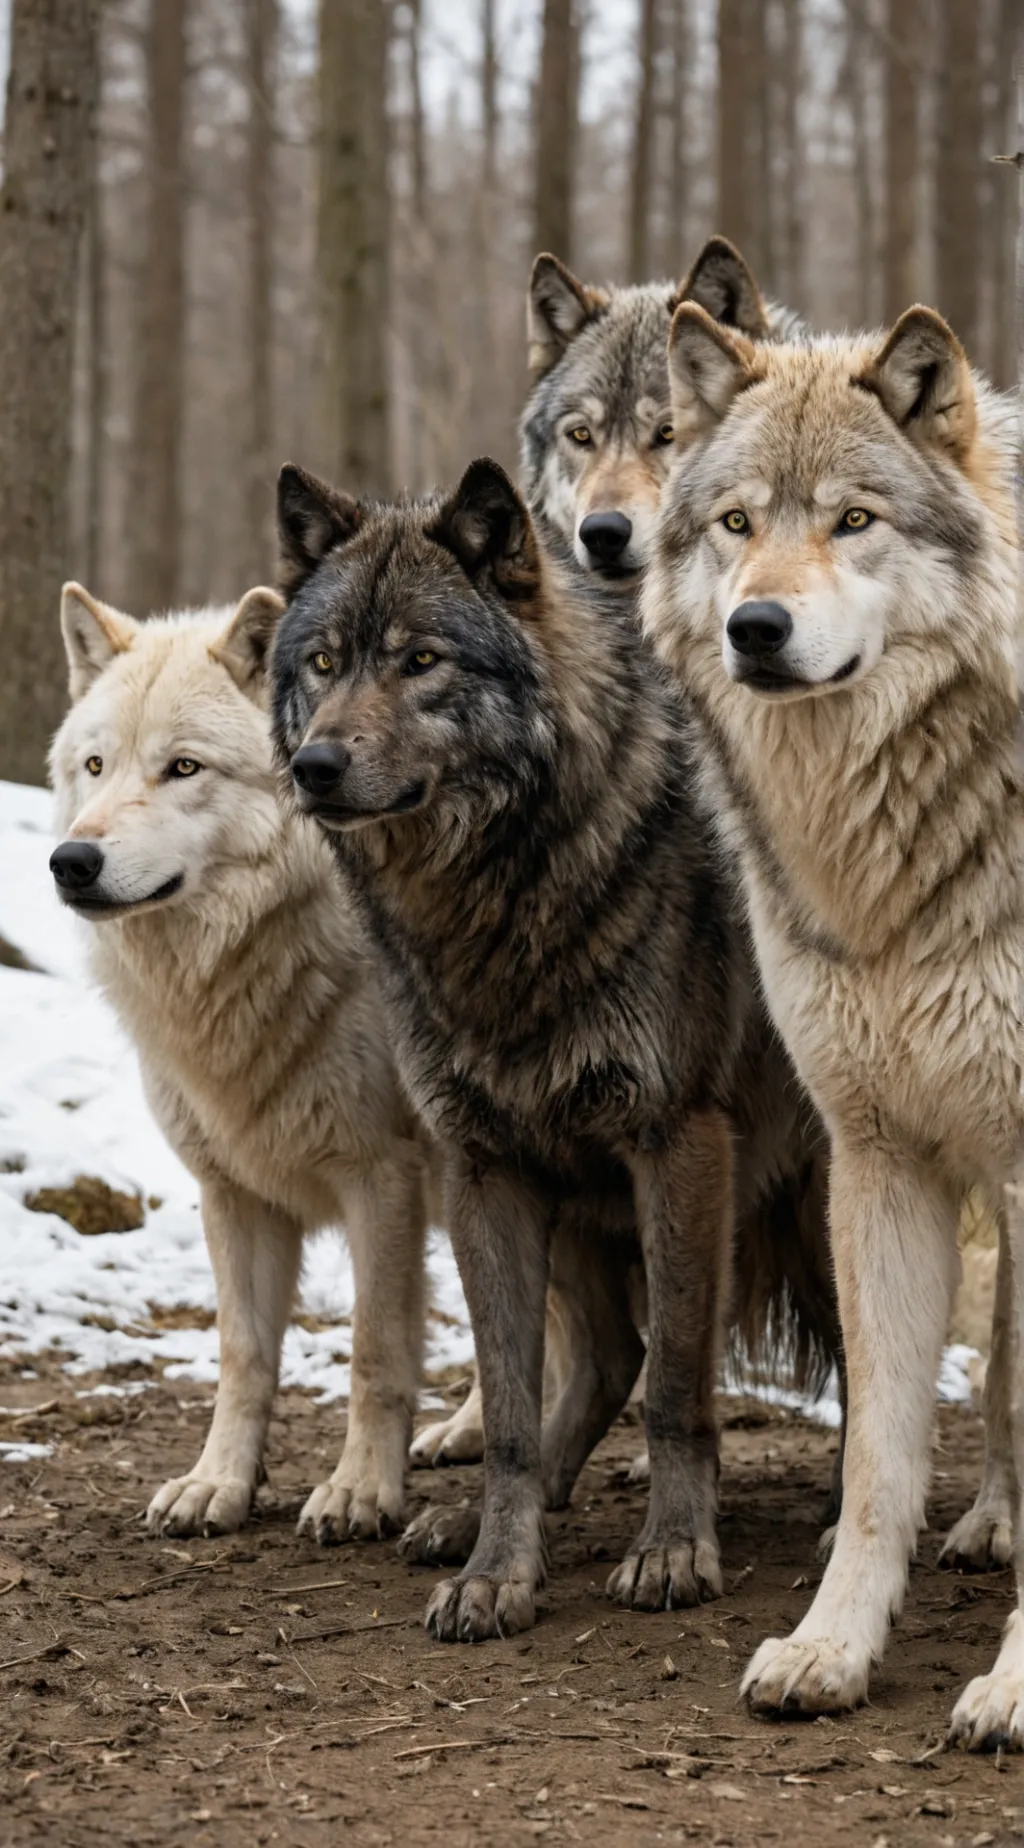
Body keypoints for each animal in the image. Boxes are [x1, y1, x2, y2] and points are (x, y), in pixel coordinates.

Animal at [49, 585, 432, 1544]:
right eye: (97, 766)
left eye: (183, 768)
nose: (71, 860)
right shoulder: (231, 1188)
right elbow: (243, 1354)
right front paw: (217, 1484)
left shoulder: (384, 1177)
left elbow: (374, 1349)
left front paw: (360, 1491)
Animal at [270, 456, 837, 1642]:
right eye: (324, 663)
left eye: (421, 661)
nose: (316, 765)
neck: (499, 897)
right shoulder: (486, 1165)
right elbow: (513, 1408)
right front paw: (496, 1571)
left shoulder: (679, 1142)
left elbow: (678, 1389)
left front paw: (673, 1551)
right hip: (572, 1190)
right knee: (605, 1361)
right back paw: (463, 1525)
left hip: (812, 1198)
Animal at [642, 301, 1024, 1746]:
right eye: (739, 522)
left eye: (853, 520)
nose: (757, 627)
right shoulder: (877, 1158)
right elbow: (875, 1462)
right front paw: (831, 1649)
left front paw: (1014, 1687)